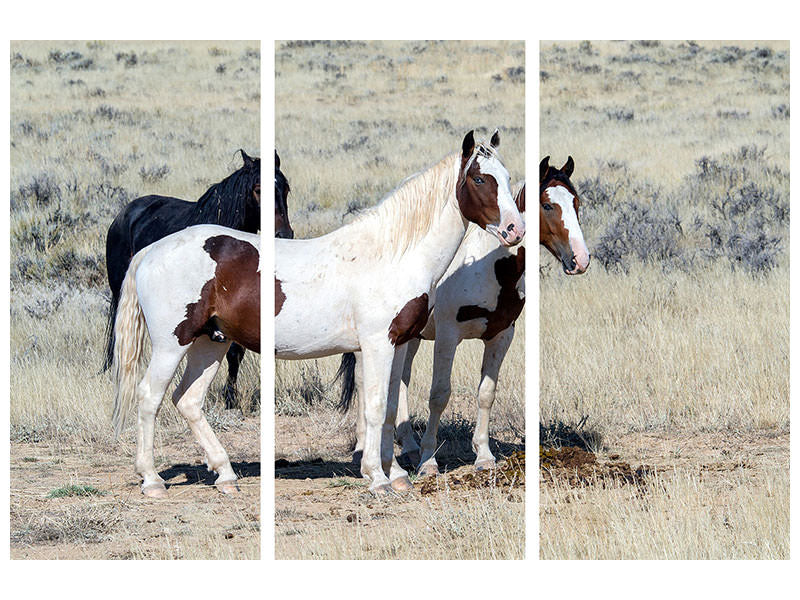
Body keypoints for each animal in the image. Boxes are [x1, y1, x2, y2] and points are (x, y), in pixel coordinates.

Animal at [103, 152, 264, 410]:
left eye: (285, 188)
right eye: (258, 189)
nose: (284, 232)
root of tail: (124, 213)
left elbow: (235, 352)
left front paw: (231, 397)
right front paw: (230, 398)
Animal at [109, 225, 258, 496]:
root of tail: (150, 251)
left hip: (210, 344)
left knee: (188, 399)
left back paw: (225, 474)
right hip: (171, 347)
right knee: (150, 396)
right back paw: (152, 480)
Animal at [340, 180, 528, 472]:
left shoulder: (502, 334)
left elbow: (486, 392)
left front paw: (483, 455)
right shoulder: (447, 334)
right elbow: (439, 393)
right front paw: (429, 460)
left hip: (410, 338)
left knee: (400, 381)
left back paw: (408, 446)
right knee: (363, 381)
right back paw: (364, 448)